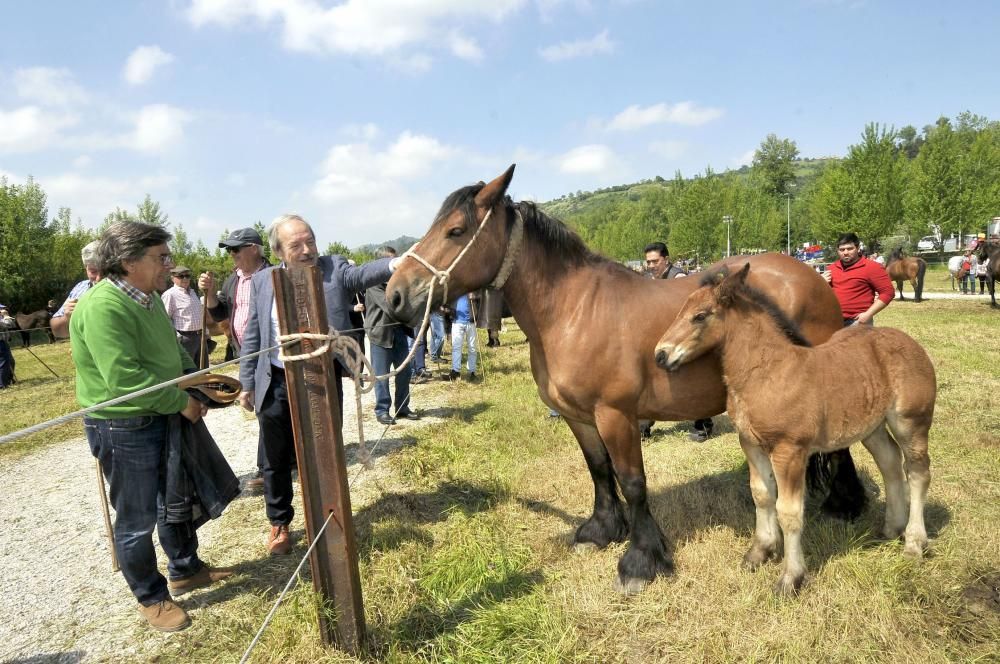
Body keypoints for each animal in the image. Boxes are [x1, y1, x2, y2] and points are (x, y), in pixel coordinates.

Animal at [382, 165, 868, 592]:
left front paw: (641, 559)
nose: (394, 296)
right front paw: (601, 530)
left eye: (456, 231)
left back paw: (845, 505)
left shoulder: (616, 414)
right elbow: (599, 471)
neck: (572, 310)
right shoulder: (578, 415)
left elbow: (632, 482)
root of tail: (813, 276)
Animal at [656, 264, 936, 596]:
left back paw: (914, 543)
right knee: (891, 463)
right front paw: (759, 552)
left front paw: (791, 577)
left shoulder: (789, 450)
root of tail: (910, 343)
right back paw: (891, 528)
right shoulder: (750, 443)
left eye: (700, 316)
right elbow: (761, 494)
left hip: (911, 422)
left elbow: (789, 511)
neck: (767, 371)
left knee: (917, 472)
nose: (660, 354)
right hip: (873, 428)